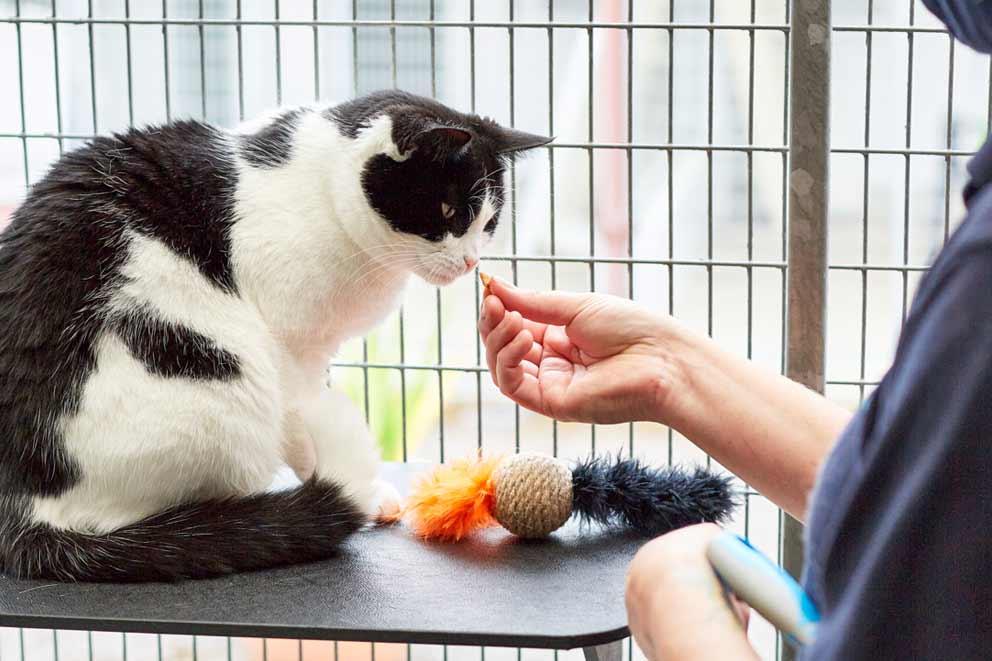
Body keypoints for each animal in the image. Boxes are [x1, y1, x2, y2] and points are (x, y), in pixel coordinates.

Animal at [0, 90, 552, 580]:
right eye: (449, 213)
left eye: (489, 222)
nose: (470, 262)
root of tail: (22, 510)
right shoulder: (293, 350)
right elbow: (304, 425)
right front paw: (361, 493)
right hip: (224, 380)